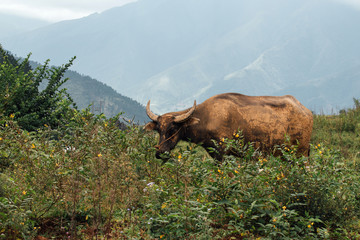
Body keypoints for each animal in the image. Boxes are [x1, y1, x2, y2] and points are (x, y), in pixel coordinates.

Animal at [143, 93, 312, 160]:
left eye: (173, 129)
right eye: (158, 130)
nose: (160, 153)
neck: (206, 118)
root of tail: (307, 111)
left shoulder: (222, 153)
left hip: (301, 153)